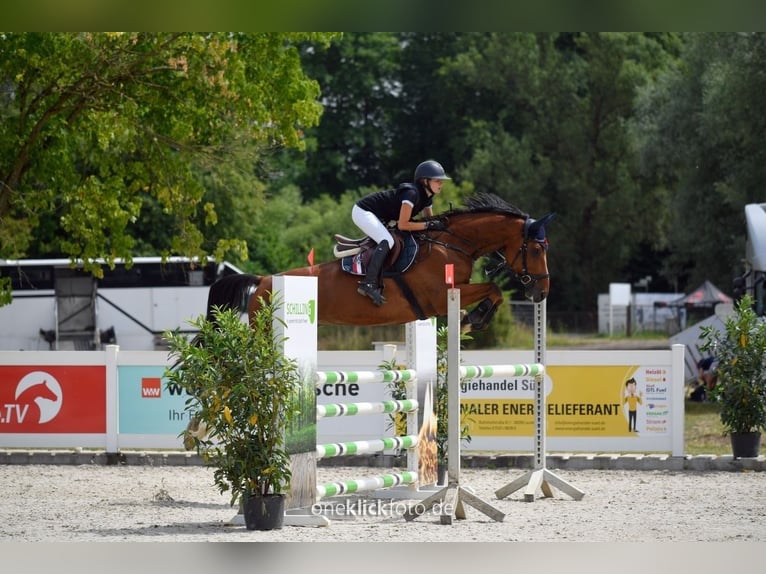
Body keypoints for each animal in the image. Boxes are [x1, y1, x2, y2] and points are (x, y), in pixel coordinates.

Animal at [206, 192, 552, 330]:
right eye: (537, 250)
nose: (542, 293)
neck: (451, 244)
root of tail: (263, 279)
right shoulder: (441, 297)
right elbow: (494, 286)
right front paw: (476, 318)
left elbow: (494, 290)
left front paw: (472, 319)